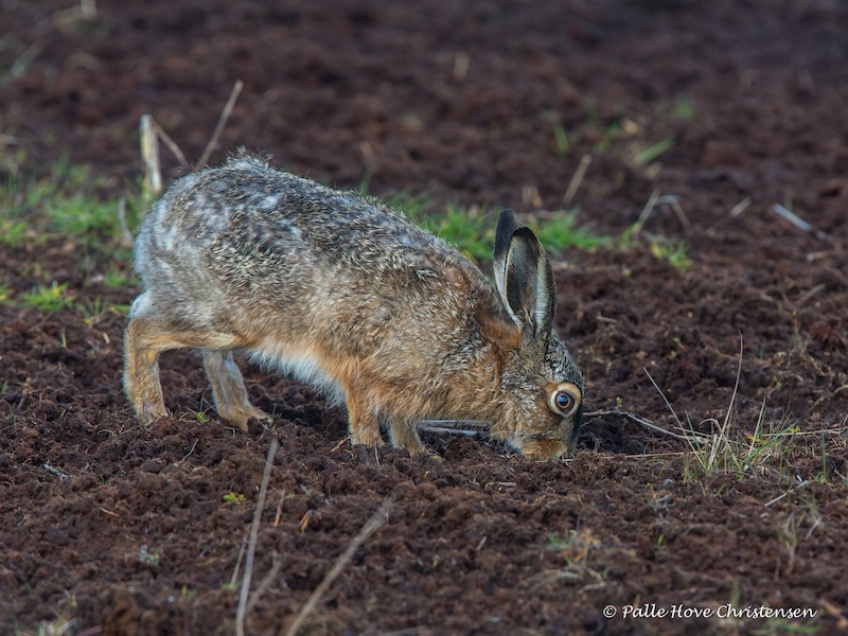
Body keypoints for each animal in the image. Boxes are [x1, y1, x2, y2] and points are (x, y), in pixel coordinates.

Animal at [124, 153, 584, 458]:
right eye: (564, 401)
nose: (558, 454)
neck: (488, 358)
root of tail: (161, 217)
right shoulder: (366, 371)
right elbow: (365, 415)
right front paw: (374, 453)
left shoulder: (406, 393)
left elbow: (403, 423)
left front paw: (418, 456)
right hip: (225, 319)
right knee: (141, 328)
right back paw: (154, 416)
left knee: (210, 357)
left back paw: (249, 417)